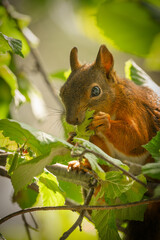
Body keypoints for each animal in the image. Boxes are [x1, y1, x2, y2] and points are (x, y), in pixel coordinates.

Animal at [59, 45, 159, 240]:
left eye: (96, 91)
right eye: (62, 91)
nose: (72, 120)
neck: (115, 101)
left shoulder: (137, 111)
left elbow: (136, 140)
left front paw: (104, 122)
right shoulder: (98, 141)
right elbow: (100, 152)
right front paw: (74, 141)